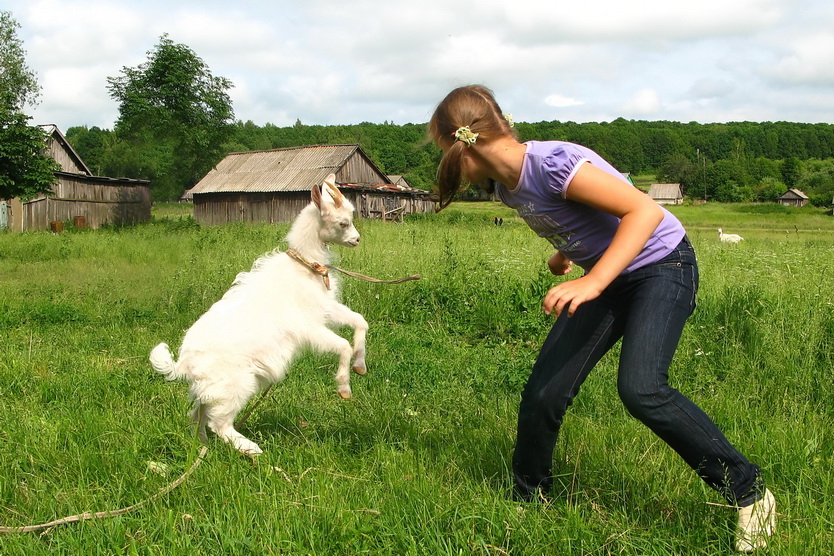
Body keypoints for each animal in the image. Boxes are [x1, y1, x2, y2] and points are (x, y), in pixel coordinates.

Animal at [149, 174, 368, 456]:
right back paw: (251, 449)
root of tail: (184, 365)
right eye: (343, 223)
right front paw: (344, 387)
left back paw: (204, 449)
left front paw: (360, 364)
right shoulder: (308, 326)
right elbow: (341, 345)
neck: (304, 266)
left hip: (212, 389)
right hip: (237, 384)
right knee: (219, 423)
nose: (357, 239)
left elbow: (360, 321)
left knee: (197, 416)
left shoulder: (326, 308)